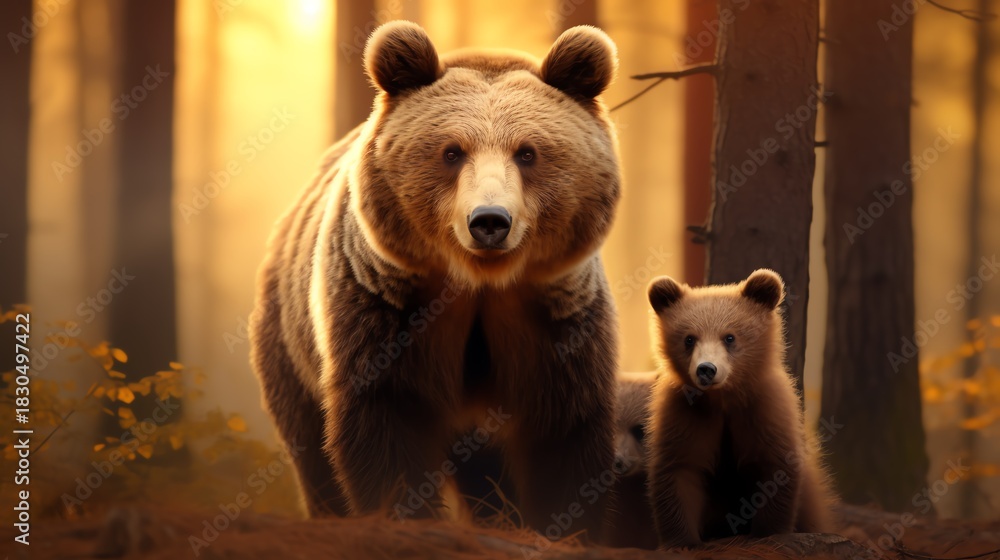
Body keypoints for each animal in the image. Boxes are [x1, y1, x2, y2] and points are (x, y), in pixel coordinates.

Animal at [248, 20, 622, 539]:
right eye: (452, 151)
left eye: (527, 152)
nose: (490, 220)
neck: (482, 284)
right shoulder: (387, 304)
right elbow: (388, 414)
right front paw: (404, 512)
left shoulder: (555, 316)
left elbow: (563, 427)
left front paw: (565, 524)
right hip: (289, 337)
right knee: (309, 443)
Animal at [643, 269, 833, 549]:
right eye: (689, 338)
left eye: (729, 337)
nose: (706, 369)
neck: (723, 400)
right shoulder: (686, 416)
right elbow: (679, 470)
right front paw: (682, 541)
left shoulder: (762, 412)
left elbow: (774, 467)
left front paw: (767, 533)